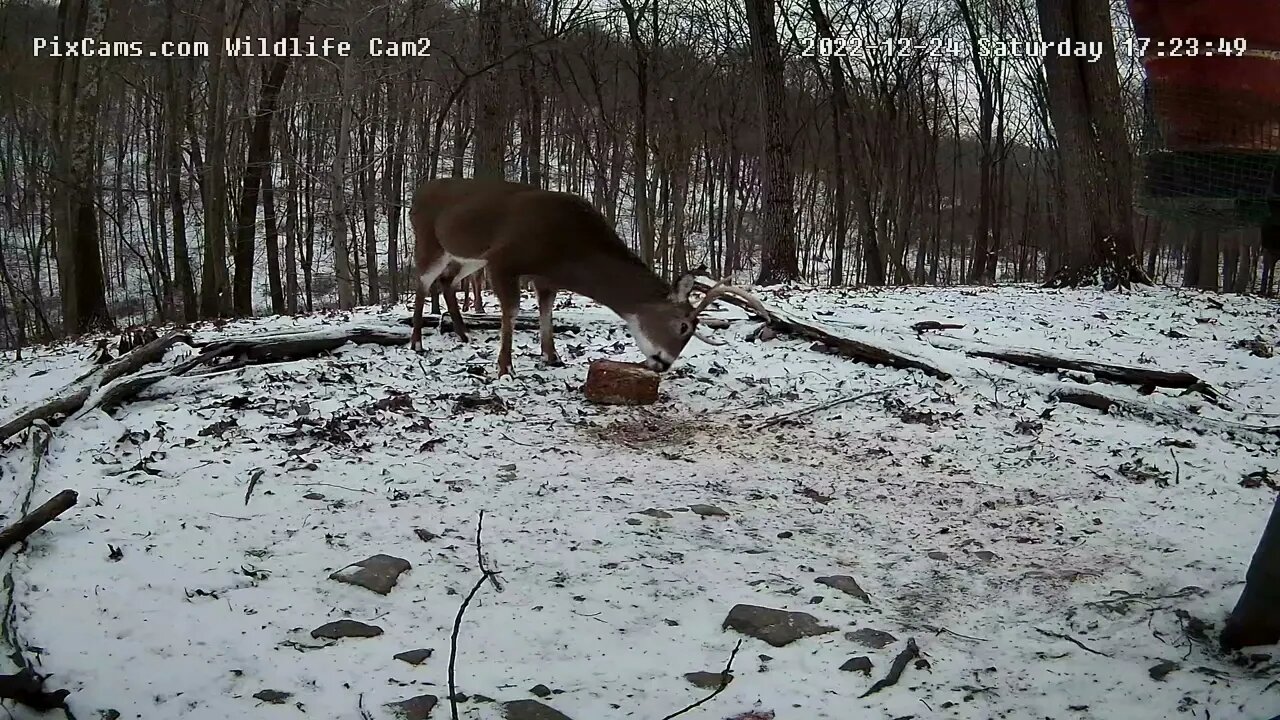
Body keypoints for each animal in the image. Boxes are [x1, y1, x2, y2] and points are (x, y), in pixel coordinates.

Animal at [414, 178, 762, 376]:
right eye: (683, 326)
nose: (662, 363)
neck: (570, 252)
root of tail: (420, 189)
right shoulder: (503, 259)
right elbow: (511, 311)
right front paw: (505, 368)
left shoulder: (546, 278)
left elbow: (546, 312)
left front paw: (552, 357)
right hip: (430, 241)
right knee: (423, 281)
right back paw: (417, 343)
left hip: (467, 256)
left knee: (446, 281)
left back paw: (462, 335)